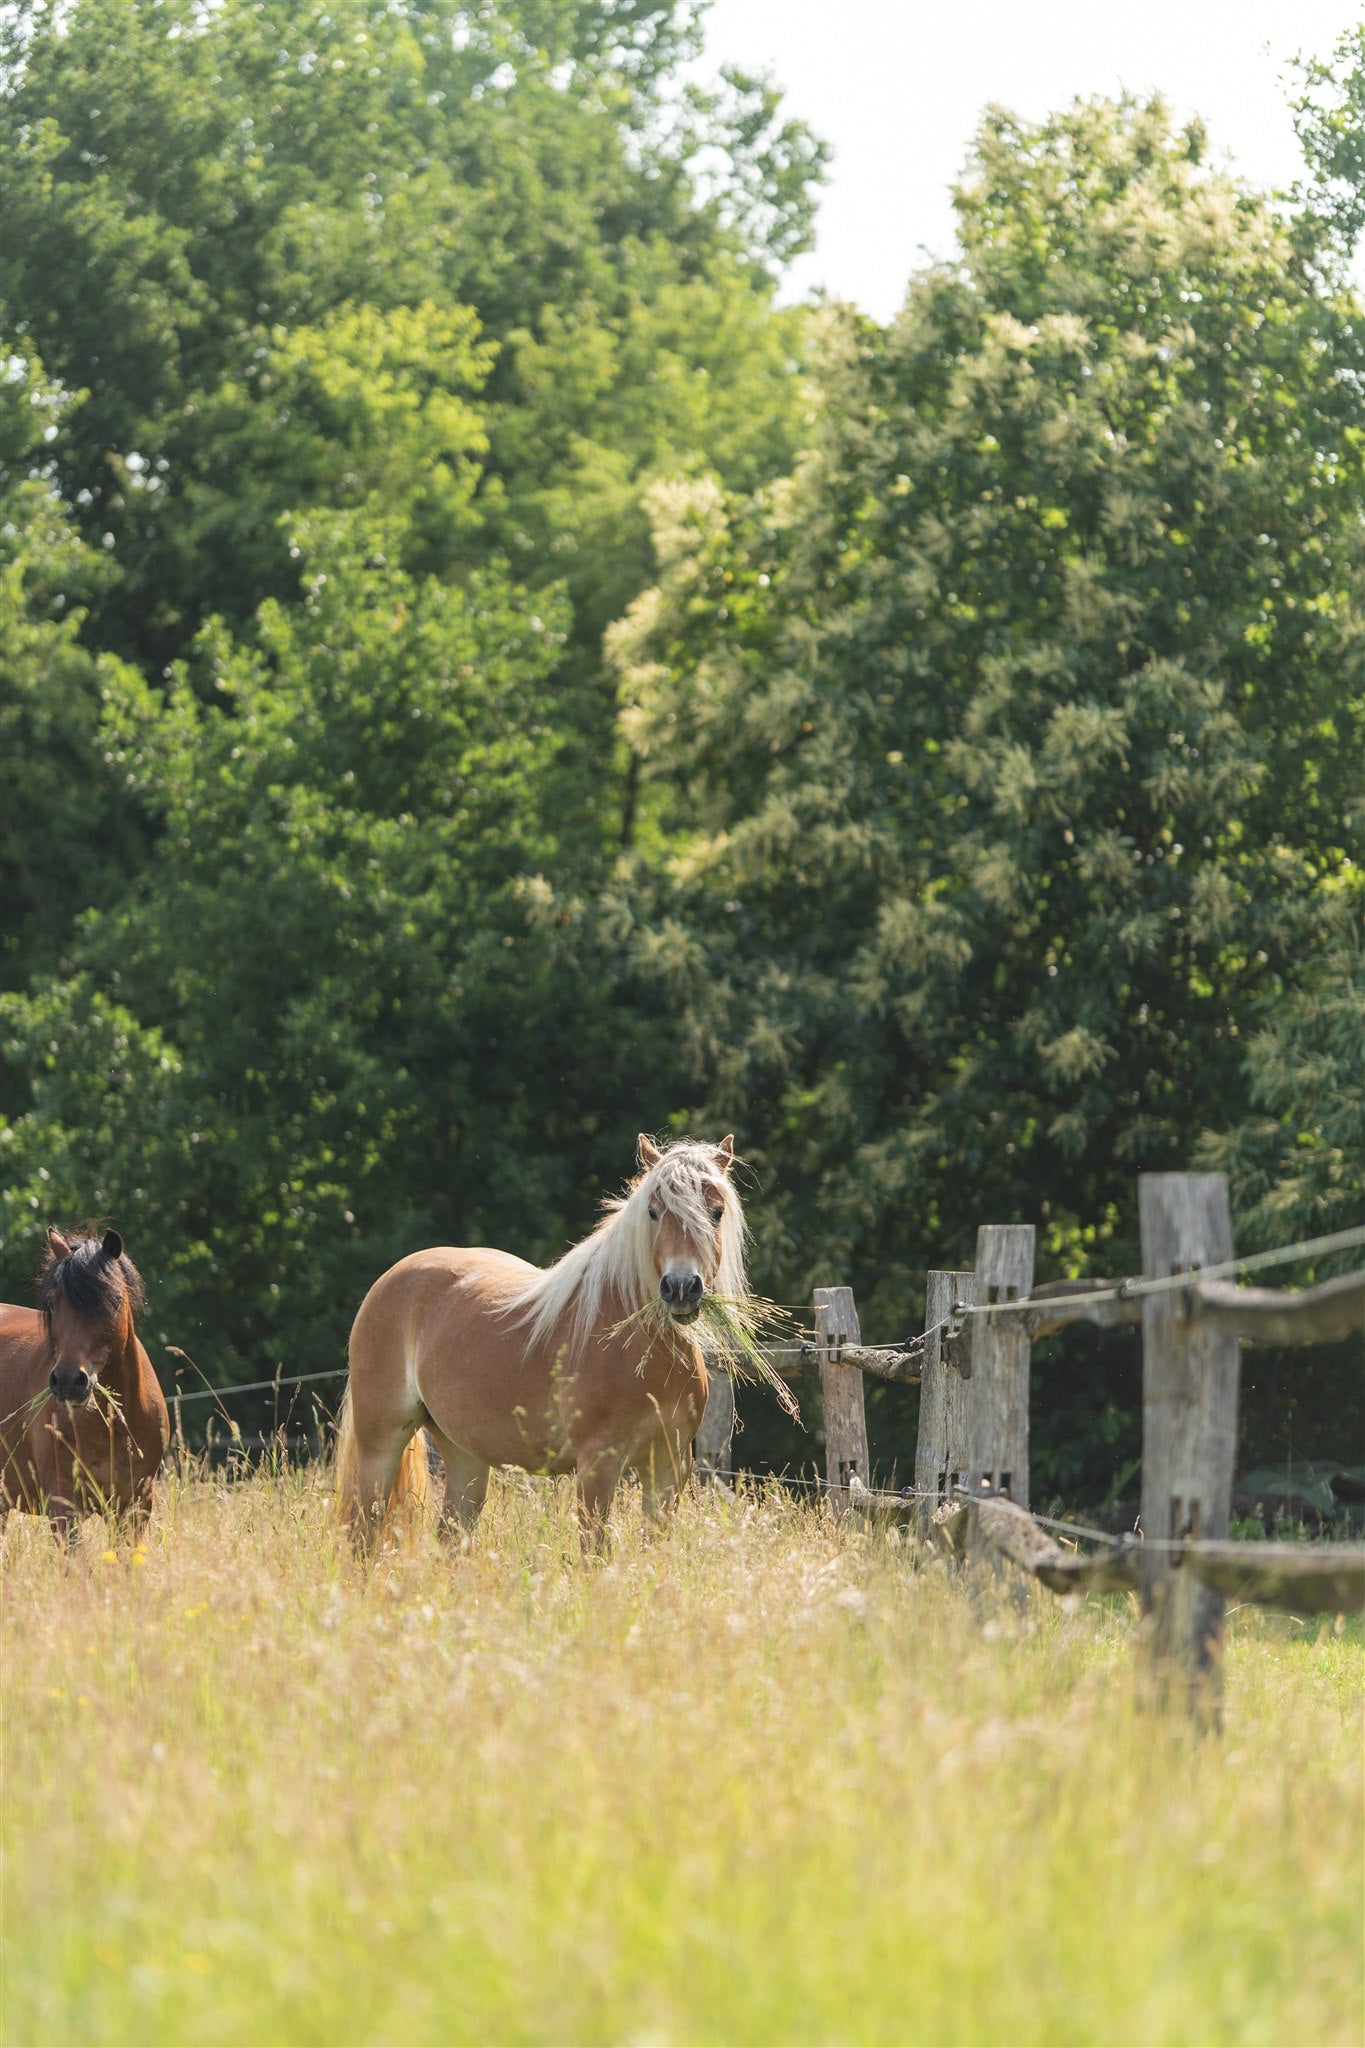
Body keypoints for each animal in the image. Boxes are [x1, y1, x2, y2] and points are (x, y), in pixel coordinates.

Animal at [0, 1228, 170, 1537]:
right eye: (52, 1303)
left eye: (114, 1300)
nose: (68, 1380)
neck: (112, 1426)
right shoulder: (63, 1506)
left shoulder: (136, 1505)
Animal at [336, 1134, 746, 1550]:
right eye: (653, 1212)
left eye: (716, 1212)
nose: (680, 1288)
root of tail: (390, 1278)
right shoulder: (597, 1466)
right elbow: (594, 1552)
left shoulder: (667, 1467)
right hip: (379, 1445)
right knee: (362, 1535)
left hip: (465, 1456)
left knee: (451, 1536)